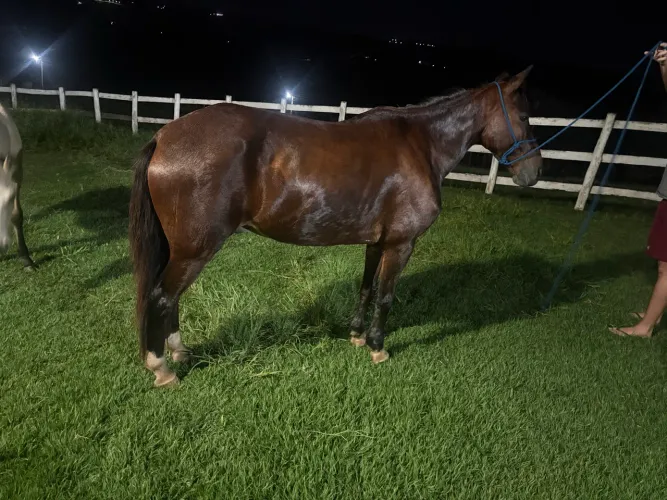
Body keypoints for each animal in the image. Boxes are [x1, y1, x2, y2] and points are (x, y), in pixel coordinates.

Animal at [129, 67, 542, 387]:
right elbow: (386, 296)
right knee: (162, 296)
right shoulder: (402, 244)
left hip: (181, 249)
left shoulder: (378, 242)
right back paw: (162, 368)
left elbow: (366, 288)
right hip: (195, 250)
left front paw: (356, 335)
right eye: (524, 116)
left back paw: (180, 352)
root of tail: (164, 136)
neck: (421, 145)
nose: (534, 173)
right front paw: (377, 347)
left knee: (171, 298)